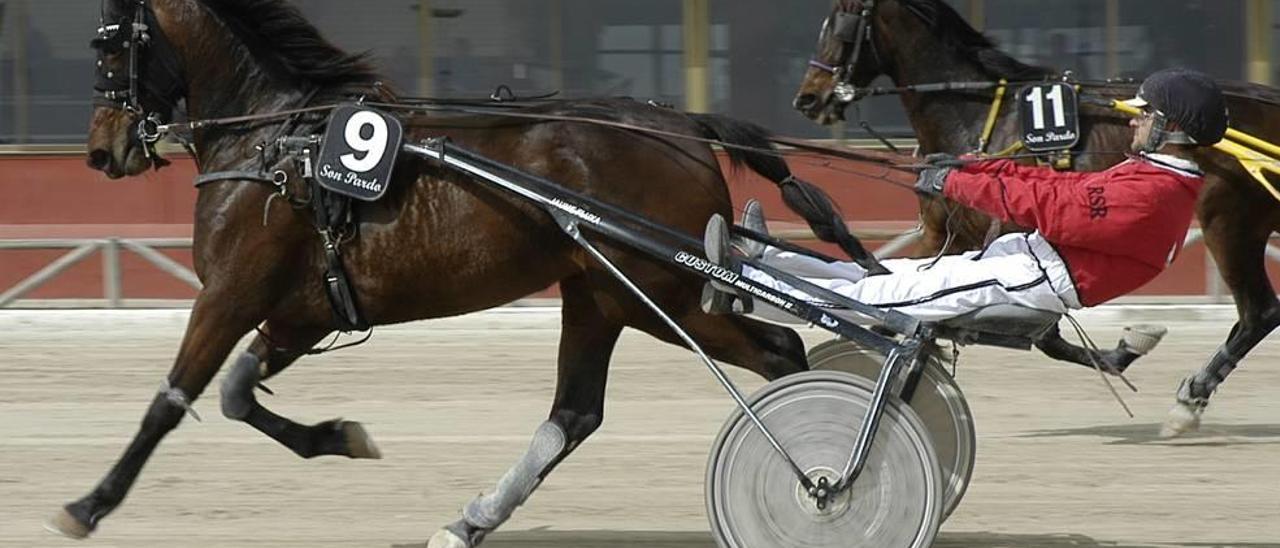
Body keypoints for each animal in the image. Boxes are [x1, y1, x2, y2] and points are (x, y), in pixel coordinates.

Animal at [47, 0, 880, 542]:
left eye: (104, 45)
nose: (101, 149)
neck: (279, 144)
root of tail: (683, 124)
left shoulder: (229, 294)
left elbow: (171, 400)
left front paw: (88, 504)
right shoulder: (302, 310)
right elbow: (235, 395)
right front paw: (340, 437)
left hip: (663, 292)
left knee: (782, 352)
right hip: (603, 294)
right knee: (575, 412)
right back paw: (472, 519)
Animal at [793, 0, 1280, 437]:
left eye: (841, 22)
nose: (808, 98)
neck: (978, 116)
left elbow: (1046, 337)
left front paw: (1122, 353)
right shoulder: (943, 235)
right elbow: (886, 299)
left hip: (1227, 223)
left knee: (1259, 311)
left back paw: (1189, 400)